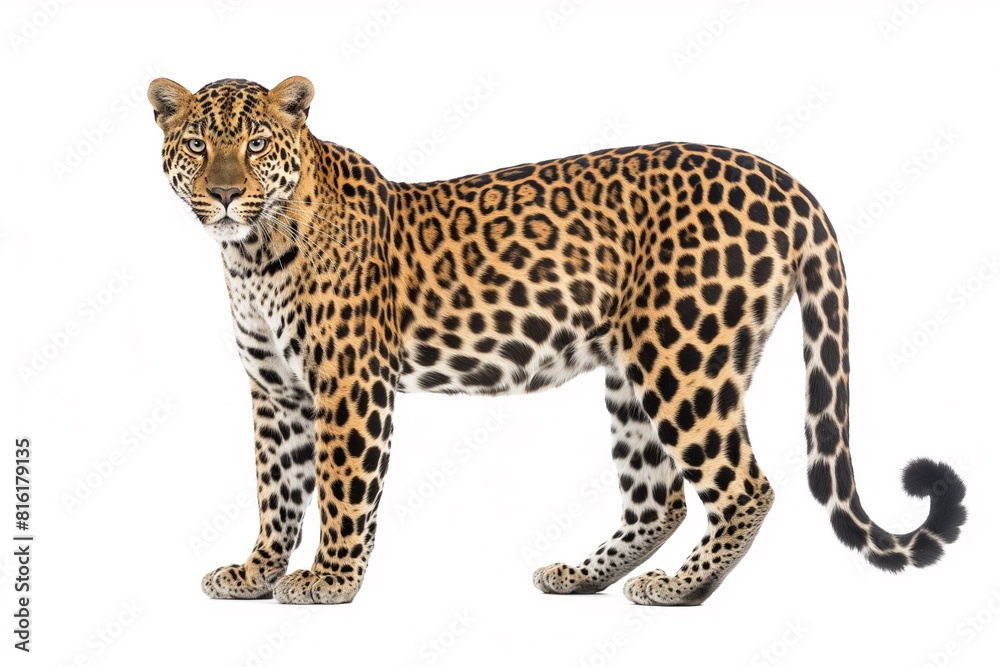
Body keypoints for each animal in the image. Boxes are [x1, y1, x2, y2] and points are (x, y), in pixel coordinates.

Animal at [147, 75, 967, 605]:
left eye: (256, 145)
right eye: (197, 145)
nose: (225, 193)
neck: (250, 253)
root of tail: (783, 179)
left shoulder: (349, 382)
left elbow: (345, 487)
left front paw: (328, 580)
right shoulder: (275, 388)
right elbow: (276, 488)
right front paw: (255, 571)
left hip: (686, 357)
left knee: (744, 485)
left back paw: (682, 588)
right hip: (632, 369)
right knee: (658, 499)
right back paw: (584, 576)